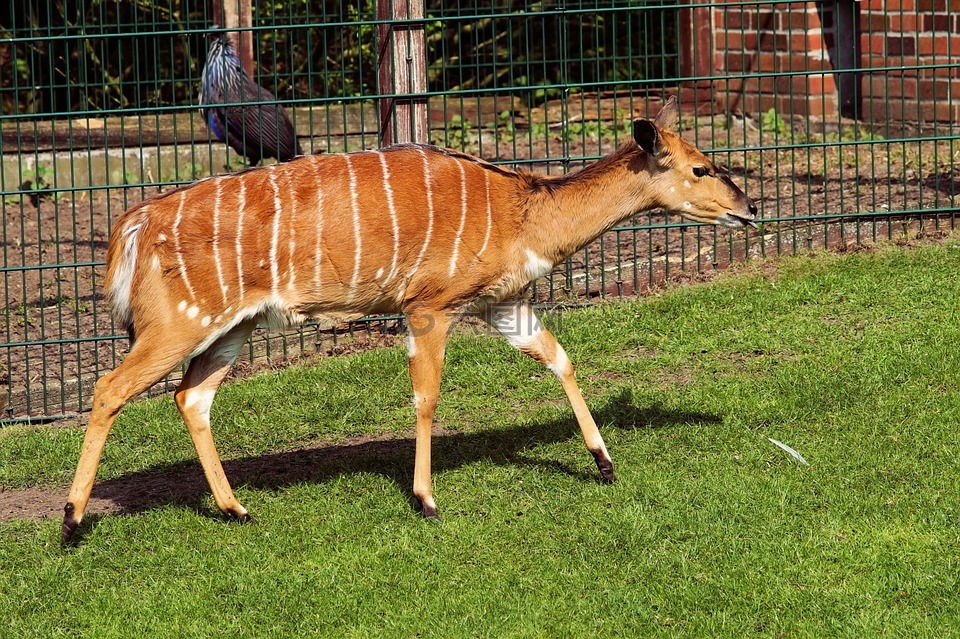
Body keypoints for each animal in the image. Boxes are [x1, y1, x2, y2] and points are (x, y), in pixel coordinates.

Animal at [63, 97, 760, 544]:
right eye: (700, 168)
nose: (751, 208)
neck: (525, 211)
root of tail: (132, 226)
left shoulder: (502, 303)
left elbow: (558, 357)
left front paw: (604, 463)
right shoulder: (428, 307)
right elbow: (427, 397)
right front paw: (425, 500)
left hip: (235, 325)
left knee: (191, 395)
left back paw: (236, 510)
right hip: (179, 323)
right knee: (111, 387)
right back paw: (71, 523)